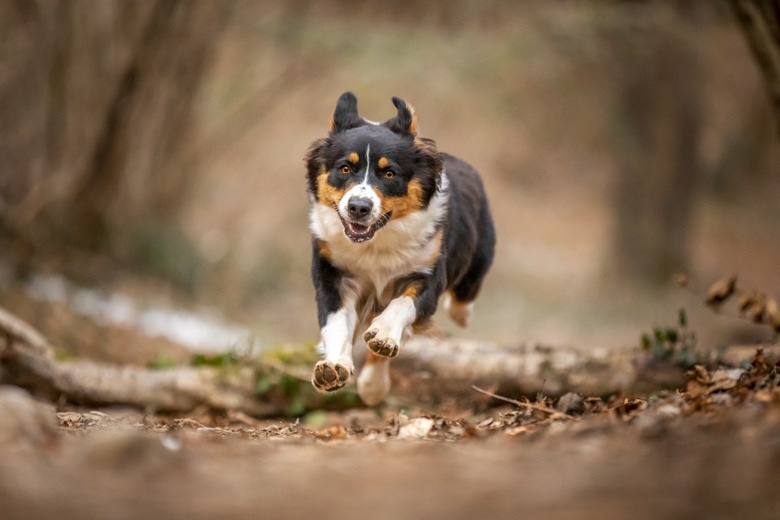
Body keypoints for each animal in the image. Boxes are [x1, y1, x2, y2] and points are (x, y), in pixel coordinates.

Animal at [304, 91, 494, 404]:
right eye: (345, 168)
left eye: (389, 173)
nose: (359, 207)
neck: (374, 242)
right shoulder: (333, 272)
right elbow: (336, 322)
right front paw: (334, 367)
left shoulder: (428, 273)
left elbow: (403, 303)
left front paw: (382, 334)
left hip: (481, 251)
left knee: (467, 289)